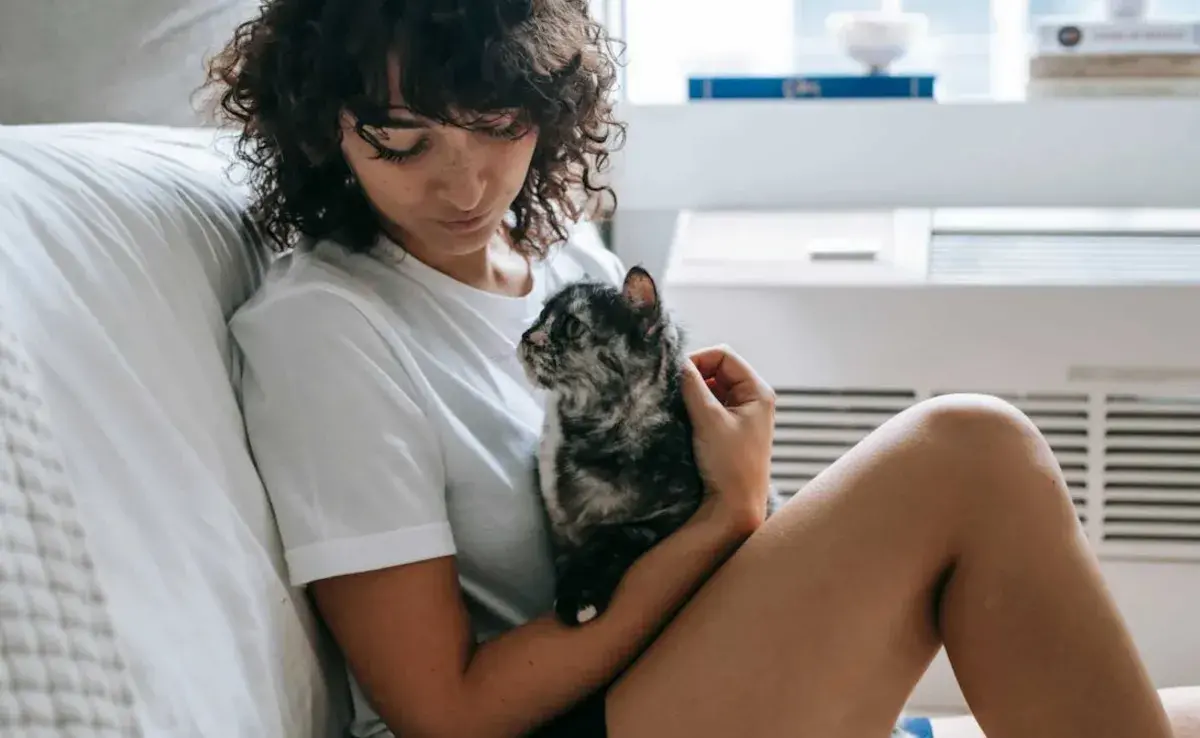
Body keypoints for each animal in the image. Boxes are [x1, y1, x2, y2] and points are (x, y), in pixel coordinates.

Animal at [513, 265, 777, 628]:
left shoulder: (673, 514)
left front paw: (578, 595)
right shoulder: (560, 529)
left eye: (572, 325)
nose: (527, 335)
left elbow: (617, 535)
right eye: (541, 315)